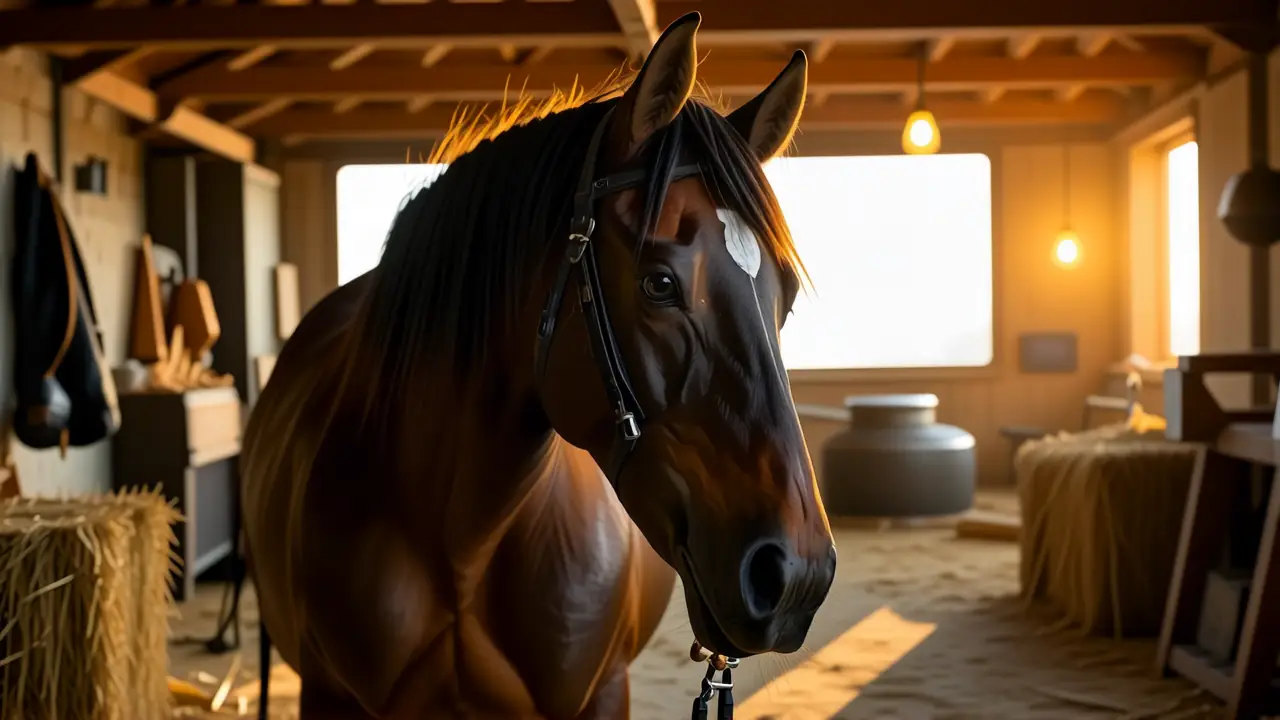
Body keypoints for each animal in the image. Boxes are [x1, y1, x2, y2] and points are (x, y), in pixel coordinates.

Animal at [240, 12, 837, 718]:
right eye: (660, 283)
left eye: (786, 298)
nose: (794, 576)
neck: (464, 544)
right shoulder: (329, 695)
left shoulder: (602, 694)